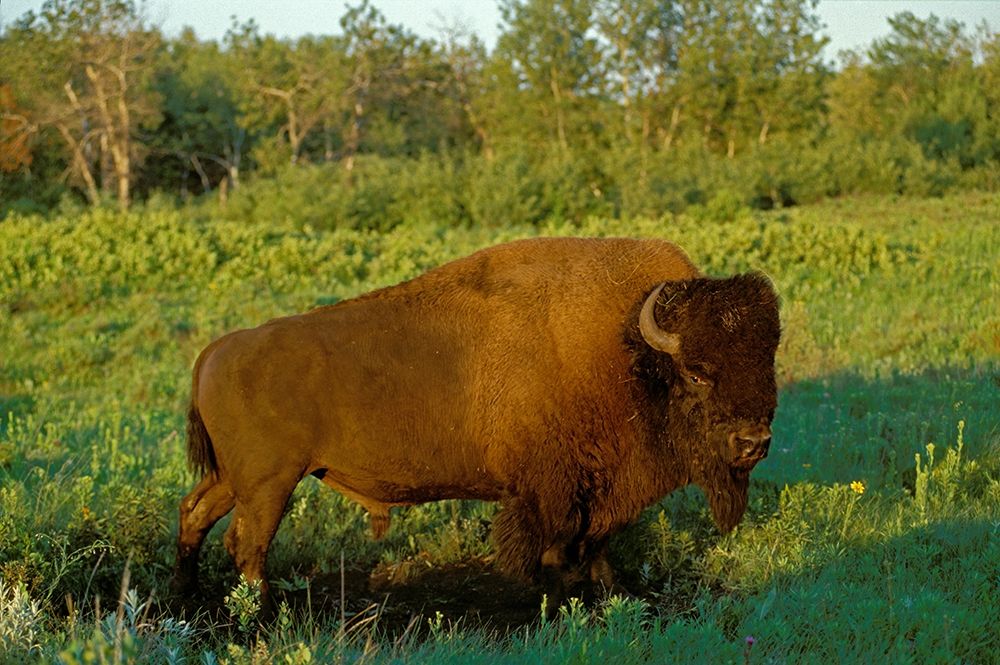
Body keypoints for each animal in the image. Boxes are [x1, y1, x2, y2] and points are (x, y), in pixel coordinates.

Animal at [172, 237, 780, 600]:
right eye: (697, 373)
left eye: (767, 362)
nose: (753, 442)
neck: (627, 347)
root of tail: (216, 350)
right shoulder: (552, 490)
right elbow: (554, 548)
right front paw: (555, 599)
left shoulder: (598, 489)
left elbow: (596, 544)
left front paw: (609, 592)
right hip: (269, 484)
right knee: (248, 545)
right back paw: (260, 614)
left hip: (235, 479)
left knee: (195, 516)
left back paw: (191, 597)